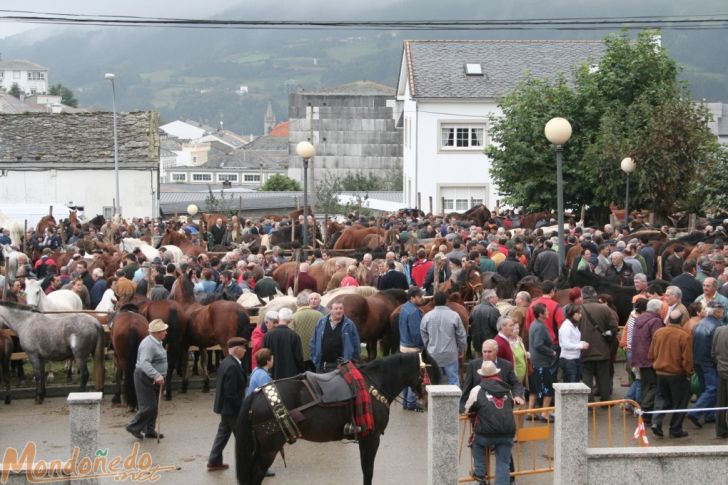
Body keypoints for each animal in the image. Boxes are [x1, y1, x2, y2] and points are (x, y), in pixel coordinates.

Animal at [235, 352, 438, 484]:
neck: (373, 383)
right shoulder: (371, 438)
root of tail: (256, 394)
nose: (429, 400)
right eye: (432, 370)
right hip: (269, 448)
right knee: (256, 474)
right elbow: (368, 471)